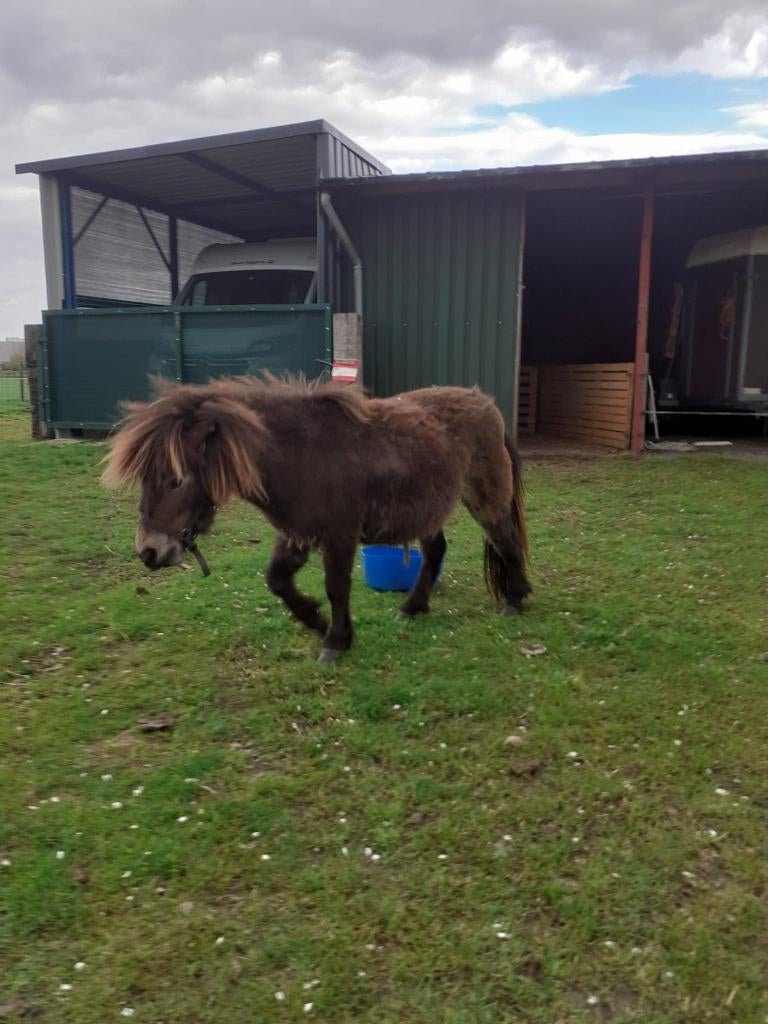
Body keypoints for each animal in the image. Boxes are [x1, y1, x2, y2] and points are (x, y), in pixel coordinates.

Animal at [102, 375, 531, 662]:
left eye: (175, 479)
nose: (148, 552)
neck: (301, 455)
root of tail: (486, 403)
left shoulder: (338, 536)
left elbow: (336, 587)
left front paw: (335, 641)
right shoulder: (296, 534)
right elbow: (276, 580)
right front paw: (316, 620)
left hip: (484, 498)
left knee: (505, 541)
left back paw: (515, 599)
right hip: (426, 510)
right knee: (436, 550)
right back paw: (412, 606)